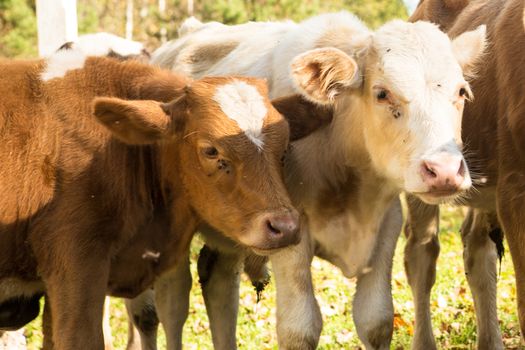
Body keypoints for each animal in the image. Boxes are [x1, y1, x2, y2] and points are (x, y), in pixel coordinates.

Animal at [127, 10, 484, 350]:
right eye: (382, 93)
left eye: (462, 91)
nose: (444, 170)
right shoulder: (288, 231)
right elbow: (299, 329)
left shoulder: (386, 225)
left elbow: (377, 320)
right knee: (166, 304)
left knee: (219, 284)